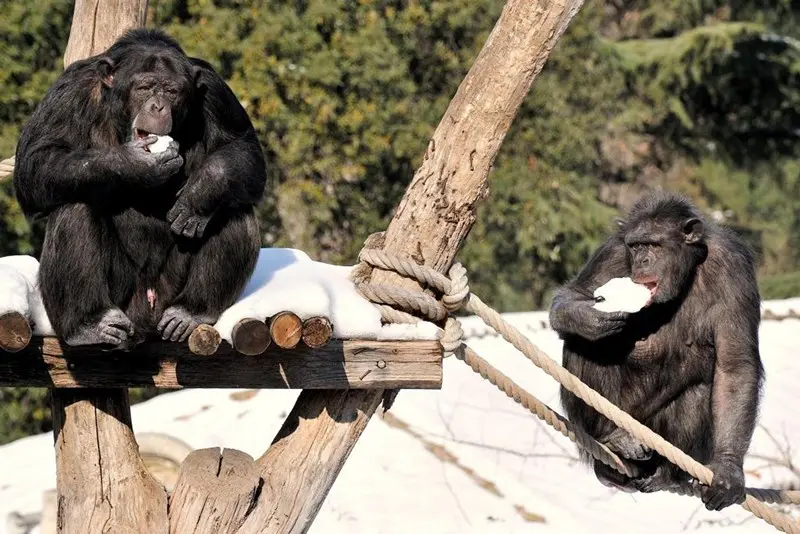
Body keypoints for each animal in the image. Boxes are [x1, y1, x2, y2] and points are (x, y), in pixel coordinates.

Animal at [14, 28, 266, 348]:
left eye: (171, 91)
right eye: (144, 87)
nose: (158, 105)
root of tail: (146, 317)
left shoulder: (214, 89)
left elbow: (244, 147)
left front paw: (201, 193)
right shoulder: (70, 90)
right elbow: (35, 161)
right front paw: (136, 164)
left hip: (168, 292)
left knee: (234, 208)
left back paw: (191, 310)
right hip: (123, 297)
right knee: (74, 205)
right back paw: (89, 324)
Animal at [552, 194, 764, 516]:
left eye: (654, 245)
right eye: (635, 246)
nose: (642, 261)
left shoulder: (734, 268)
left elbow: (734, 366)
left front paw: (728, 470)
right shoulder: (612, 252)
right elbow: (573, 295)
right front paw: (588, 318)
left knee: (701, 389)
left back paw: (666, 474)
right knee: (582, 345)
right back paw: (613, 439)